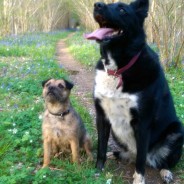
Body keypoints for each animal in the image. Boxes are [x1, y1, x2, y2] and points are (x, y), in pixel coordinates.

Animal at [85, 0, 183, 184]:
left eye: (123, 9)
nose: (97, 5)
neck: (117, 69)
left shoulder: (142, 122)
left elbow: (140, 161)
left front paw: (139, 179)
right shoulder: (102, 116)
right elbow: (101, 147)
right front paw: (98, 169)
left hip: (176, 131)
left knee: (161, 161)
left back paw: (166, 172)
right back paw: (114, 154)